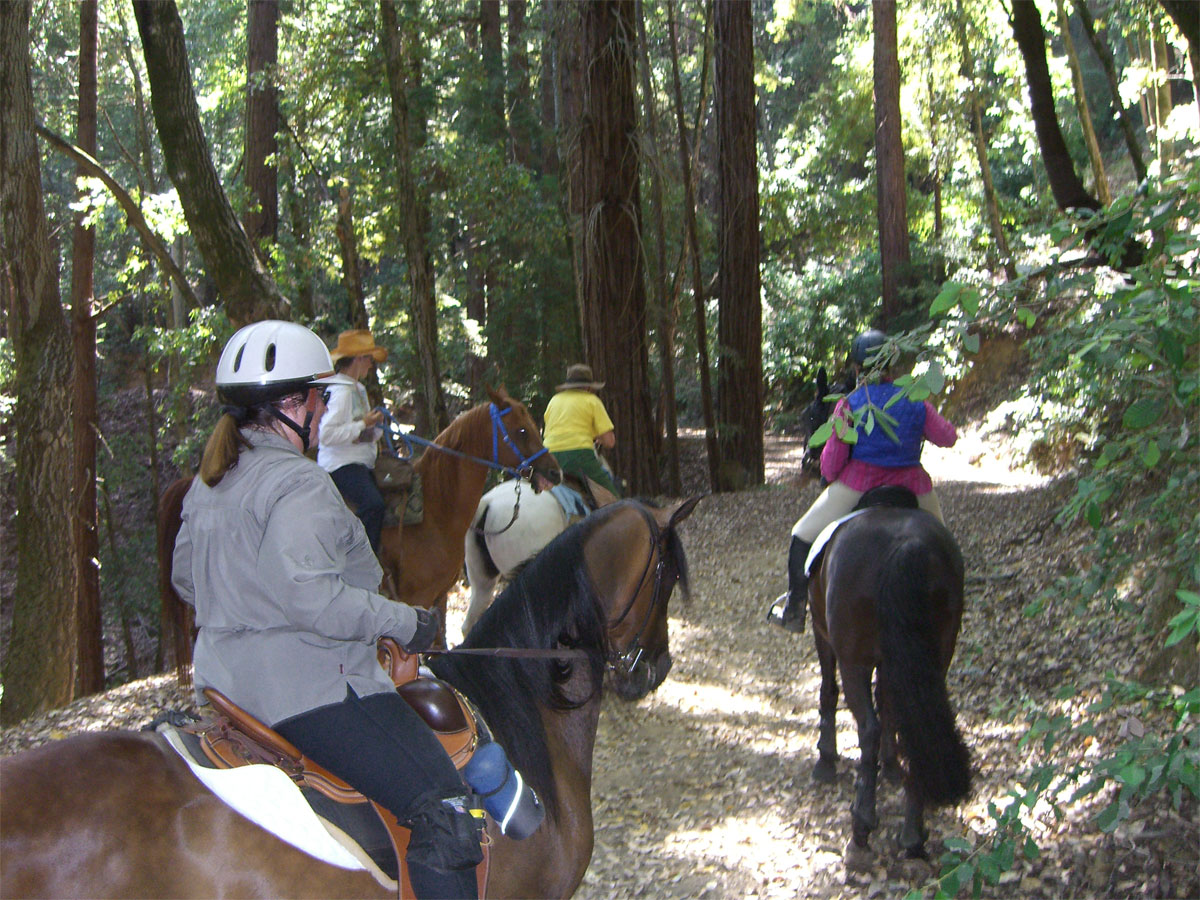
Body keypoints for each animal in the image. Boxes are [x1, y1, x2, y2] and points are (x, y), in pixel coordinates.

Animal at [801, 489, 969, 868]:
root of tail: (908, 545)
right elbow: (891, 707)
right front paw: (891, 766)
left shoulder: (823, 633)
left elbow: (828, 692)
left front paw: (826, 759)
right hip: (936, 654)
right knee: (917, 724)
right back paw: (913, 838)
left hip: (853, 660)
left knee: (868, 727)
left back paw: (861, 829)